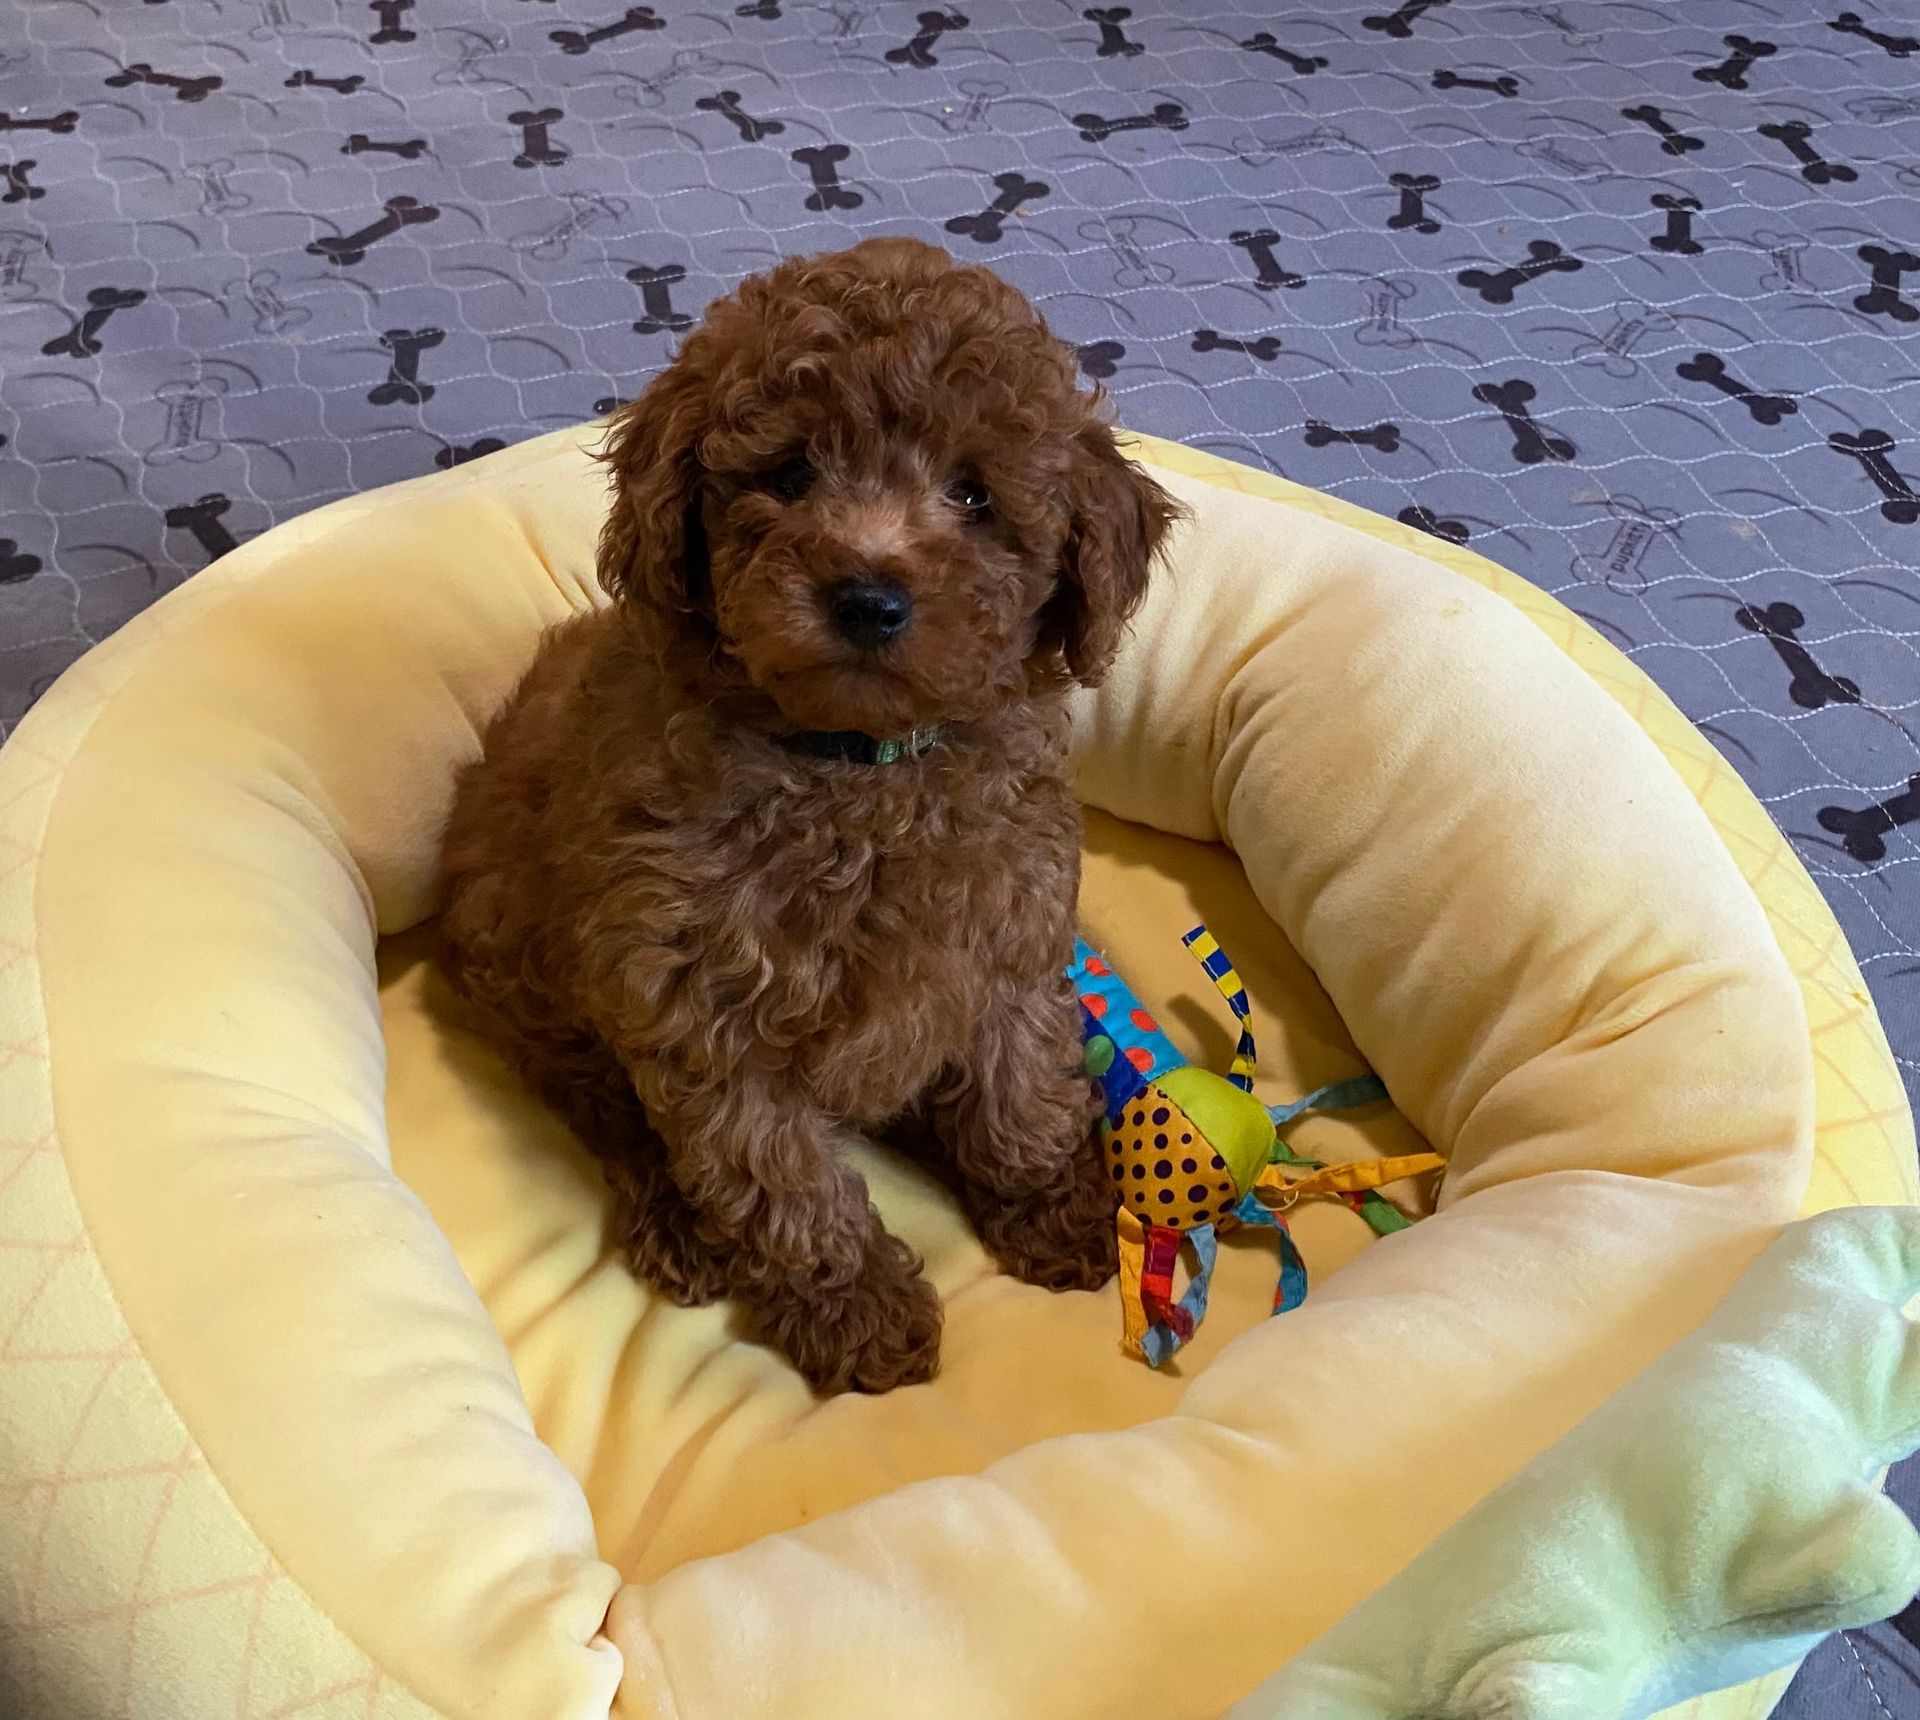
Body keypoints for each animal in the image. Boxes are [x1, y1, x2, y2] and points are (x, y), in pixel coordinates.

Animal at [439, 241, 1175, 1389]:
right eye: (787, 476)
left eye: (974, 493)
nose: (869, 598)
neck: (859, 767)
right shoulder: (698, 1008)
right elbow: (784, 1185)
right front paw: (860, 1312)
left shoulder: (1007, 945)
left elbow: (1022, 1089)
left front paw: (1055, 1208)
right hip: (526, 971)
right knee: (609, 1108)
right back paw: (681, 1221)